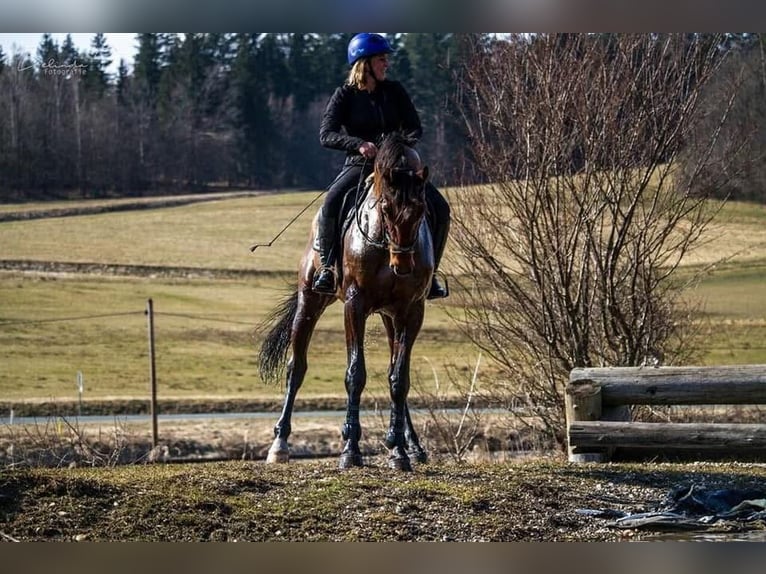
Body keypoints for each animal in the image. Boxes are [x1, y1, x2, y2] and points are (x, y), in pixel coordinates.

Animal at [257, 132, 434, 471]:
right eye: (386, 208)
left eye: (421, 211)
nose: (403, 265)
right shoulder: (355, 305)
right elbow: (355, 374)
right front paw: (350, 448)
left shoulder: (411, 310)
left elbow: (399, 379)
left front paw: (398, 450)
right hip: (310, 301)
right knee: (296, 367)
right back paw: (279, 444)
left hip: (390, 317)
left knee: (393, 367)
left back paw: (413, 445)